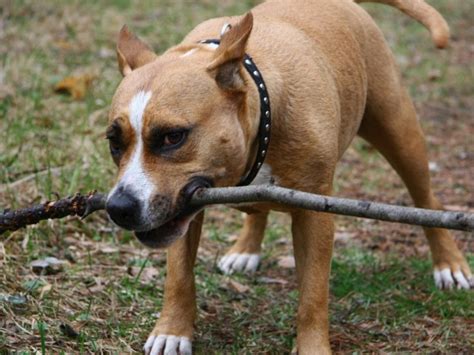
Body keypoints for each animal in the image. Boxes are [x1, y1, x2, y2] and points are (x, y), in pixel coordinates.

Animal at [105, 0, 472, 354]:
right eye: (113, 142)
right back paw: (246, 249)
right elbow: (179, 277)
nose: (118, 207)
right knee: (258, 209)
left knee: (426, 198)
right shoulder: (183, 214)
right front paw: (171, 332)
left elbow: (313, 294)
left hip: (400, 133)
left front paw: (312, 347)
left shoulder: (314, 217)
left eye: (173, 137)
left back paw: (449, 264)